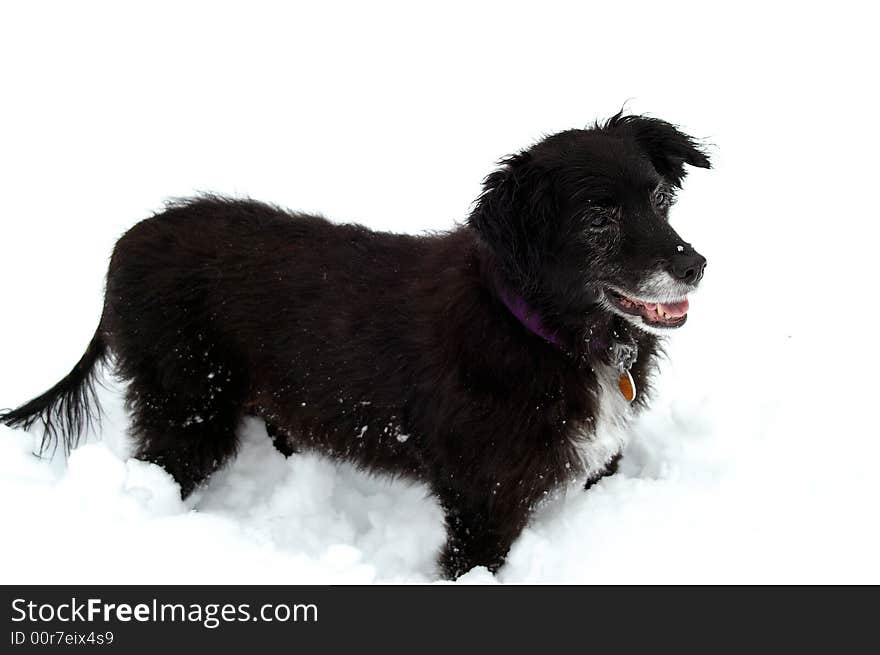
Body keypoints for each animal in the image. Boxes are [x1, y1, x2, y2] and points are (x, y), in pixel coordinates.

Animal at [0, 114, 712, 580]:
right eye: (597, 218)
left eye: (658, 199)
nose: (696, 265)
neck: (545, 331)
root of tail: (127, 242)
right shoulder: (485, 496)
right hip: (186, 401)